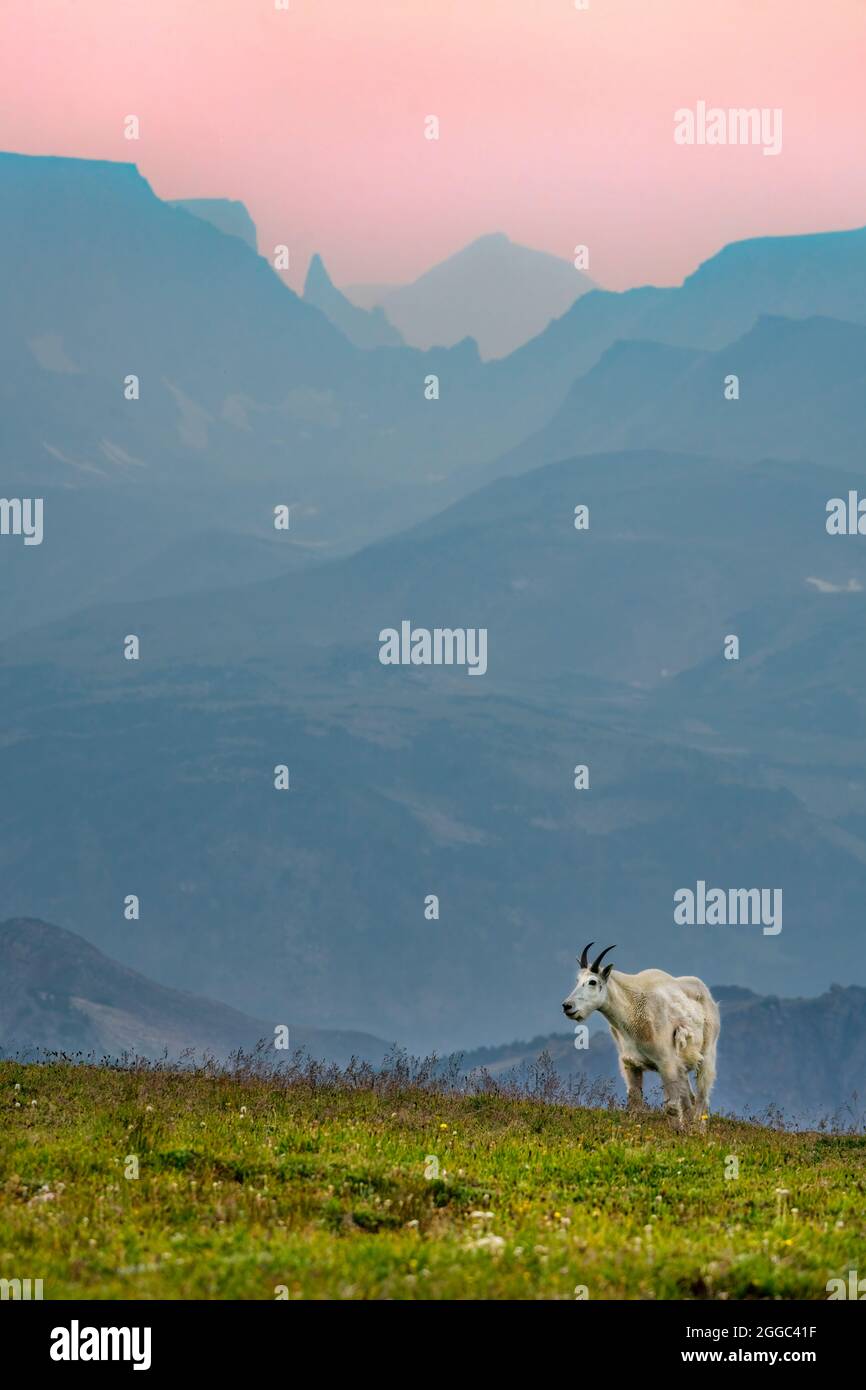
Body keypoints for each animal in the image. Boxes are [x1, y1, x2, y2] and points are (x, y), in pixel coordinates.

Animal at [561, 945, 717, 1128]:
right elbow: (635, 1105)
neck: (630, 1009)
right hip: (682, 1066)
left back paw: (698, 1131)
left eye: (592, 981)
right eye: (577, 980)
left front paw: (677, 1133)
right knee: (689, 1100)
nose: (567, 1006)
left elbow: (671, 1106)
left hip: (707, 1054)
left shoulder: (666, 1063)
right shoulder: (630, 1064)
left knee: (702, 1100)